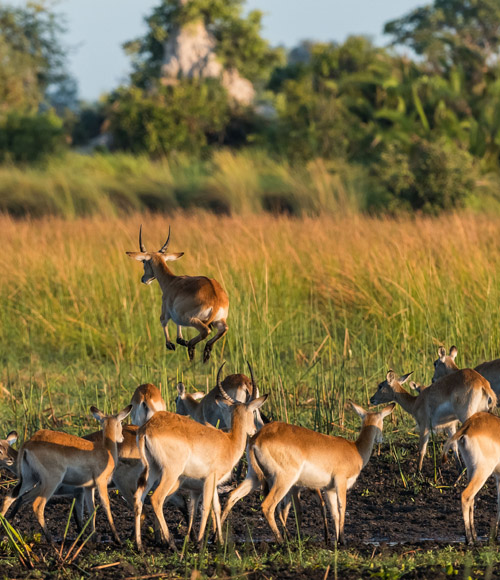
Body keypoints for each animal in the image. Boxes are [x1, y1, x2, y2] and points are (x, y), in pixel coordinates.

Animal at [0, 408, 132, 544]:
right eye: (120, 423)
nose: (121, 438)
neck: (107, 451)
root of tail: (28, 444)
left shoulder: (88, 488)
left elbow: (91, 511)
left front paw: (94, 538)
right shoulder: (101, 483)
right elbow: (106, 507)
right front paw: (117, 539)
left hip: (29, 480)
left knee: (11, 497)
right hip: (51, 482)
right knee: (37, 505)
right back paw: (51, 542)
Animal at [126, 227, 229, 362]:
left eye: (143, 261)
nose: (144, 279)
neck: (171, 281)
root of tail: (216, 298)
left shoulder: (167, 312)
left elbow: (163, 321)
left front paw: (170, 344)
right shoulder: (177, 316)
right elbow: (178, 330)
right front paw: (180, 340)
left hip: (192, 319)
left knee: (205, 331)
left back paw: (191, 347)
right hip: (218, 320)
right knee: (224, 329)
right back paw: (205, 352)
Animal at [132, 364, 266, 552]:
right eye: (252, 410)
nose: (254, 430)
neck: (229, 441)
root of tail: (146, 429)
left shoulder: (213, 482)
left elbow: (216, 507)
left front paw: (219, 541)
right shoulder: (209, 479)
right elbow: (206, 506)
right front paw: (200, 542)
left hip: (153, 470)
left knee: (139, 497)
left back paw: (139, 545)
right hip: (170, 473)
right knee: (156, 498)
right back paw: (170, 543)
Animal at [223, 404, 394, 544]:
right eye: (382, 420)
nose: (381, 439)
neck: (355, 450)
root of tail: (256, 438)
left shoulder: (329, 489)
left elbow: (333, 512)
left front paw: (336, 542)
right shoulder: (340, 482)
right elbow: (342, 507)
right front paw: (343, 541)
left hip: (254, 477)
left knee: (233, 495)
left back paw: (218, 539)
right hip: (284, 480)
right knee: (268, 506)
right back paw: (282, 542)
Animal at [444, 412, 500, 544]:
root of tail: (468, 426)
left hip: (471, 469)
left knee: (472, 499)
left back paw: (473, 536)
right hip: (483, 471)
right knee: (466, 495)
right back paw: (469, 539)